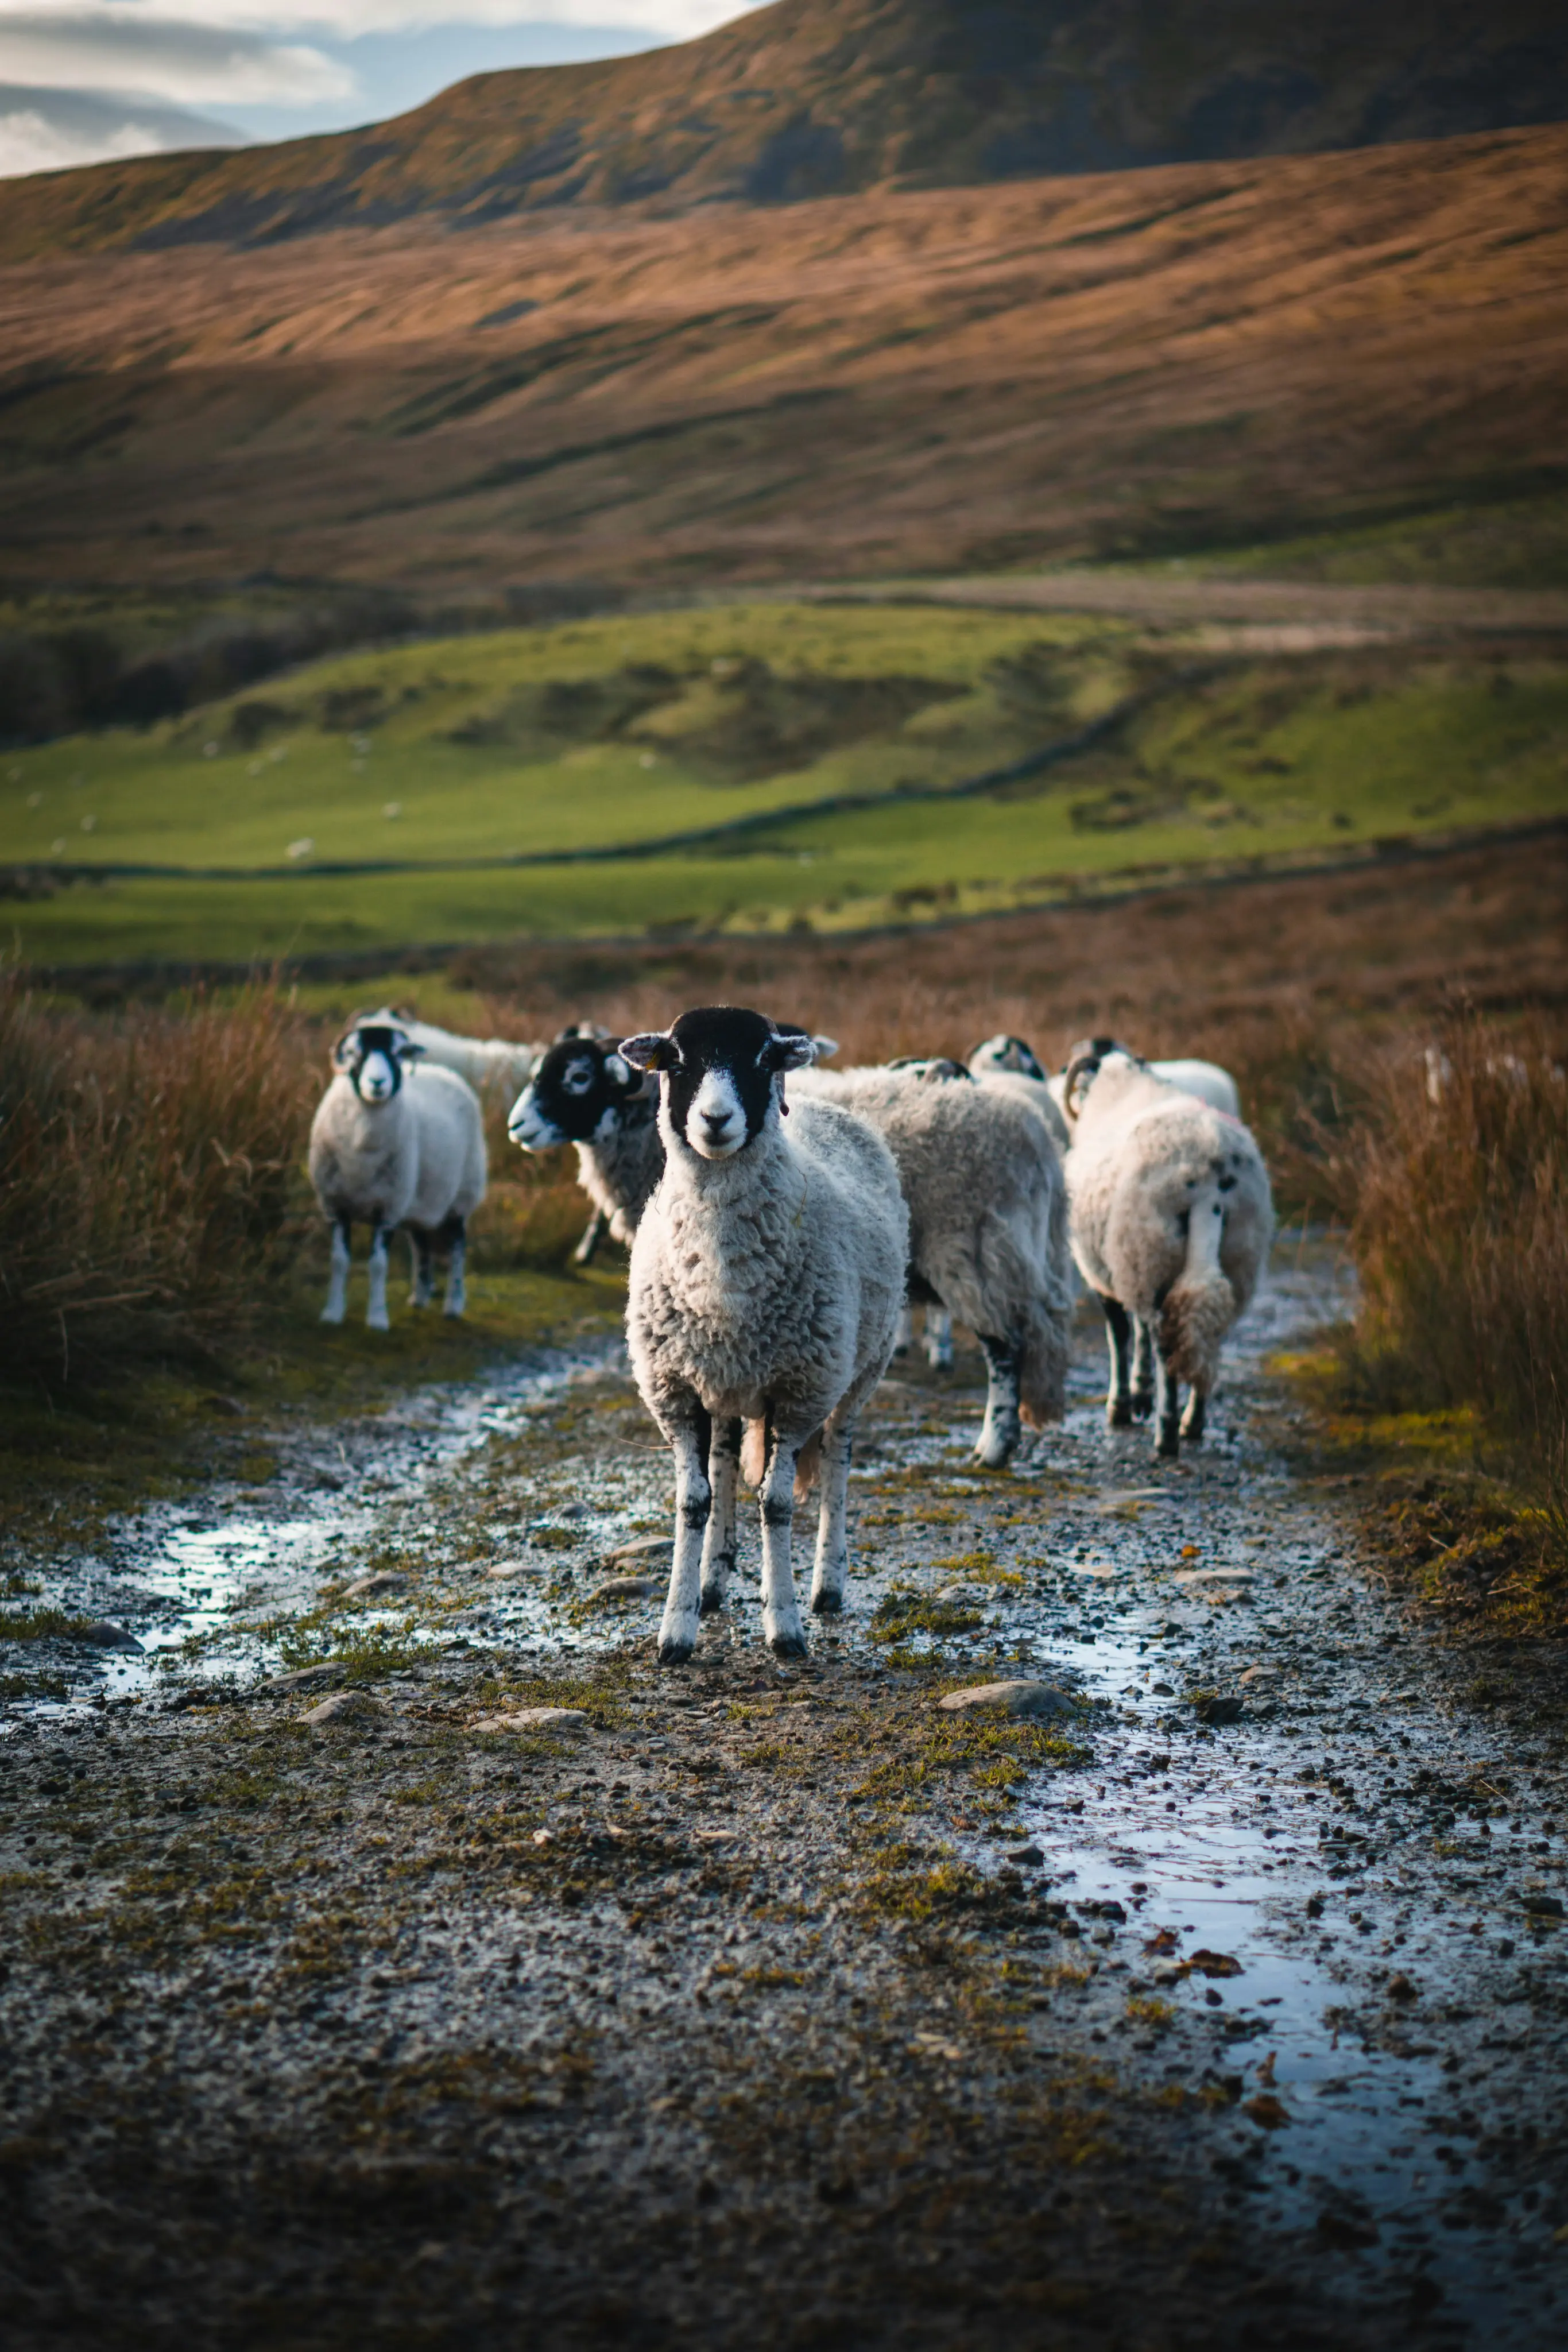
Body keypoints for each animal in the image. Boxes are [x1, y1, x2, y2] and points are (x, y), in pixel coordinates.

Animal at [309, 1019, 487, 1330]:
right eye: (354, 1052)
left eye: (398, 1053)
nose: (378, 1083)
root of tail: (442, 1070)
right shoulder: (335, 1205)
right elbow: (338, 1261)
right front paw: (332, 1313)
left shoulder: (388, 1209)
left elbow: (379, 1265)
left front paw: (377, 1318)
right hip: (419, 1197)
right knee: (421, 1244)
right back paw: (420, 1297)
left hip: (462, 1194)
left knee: (457, 1248)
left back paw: (454, 1304)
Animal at [618, 1005, 908, 1662]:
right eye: (676, 1060)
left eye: (761, 1059)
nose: (714, 1119)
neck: (725, 1281)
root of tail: (821, 1103)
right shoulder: (676, 1391)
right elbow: (693, 1501)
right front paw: (676, 1629)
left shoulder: (798, 1390)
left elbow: (775, 1504)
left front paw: (785, 1628)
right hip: (724, 1381)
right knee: (725, 1464)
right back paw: (713, 1581)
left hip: (859, 1369)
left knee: (837, 1461)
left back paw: (827, 1586)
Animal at [1064, 1047, 1273, 1457]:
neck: (1120, 1088)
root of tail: (1210, 1175)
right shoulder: (1134, 1270)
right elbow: (1139, 1331)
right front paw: (1140, 1393)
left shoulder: (1106, 1274)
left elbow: (1120, 1336)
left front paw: (1122, 1405)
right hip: (1232, 1255)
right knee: (1206, 1330)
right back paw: (1193, 1421)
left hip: (1150, 1248)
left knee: (1167, 1339)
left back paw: (1167, 1431)